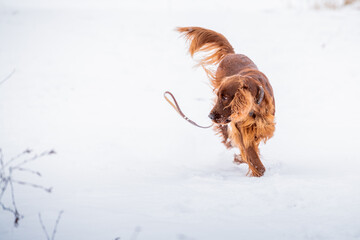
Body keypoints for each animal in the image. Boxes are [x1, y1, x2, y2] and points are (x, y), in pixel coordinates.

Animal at [177, 26, 276, 176]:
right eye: (219, 96)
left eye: (225, 97)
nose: (210, 116)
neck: (254, 108)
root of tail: (231, 54)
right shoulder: (241, 128)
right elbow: (250, 152)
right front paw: (256, 168)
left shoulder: (263, 124)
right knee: (225, 130)